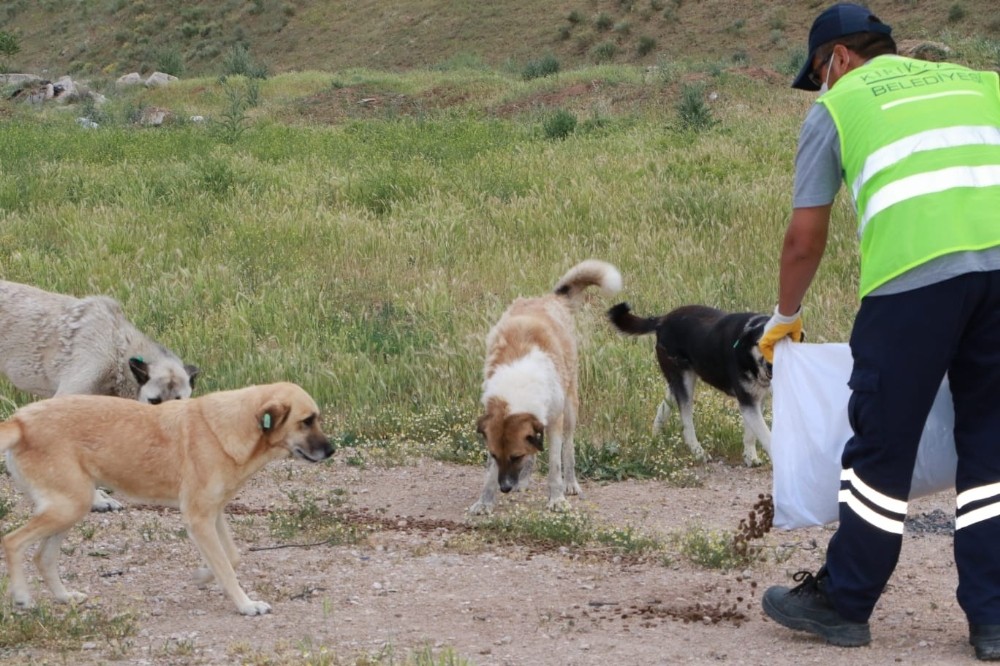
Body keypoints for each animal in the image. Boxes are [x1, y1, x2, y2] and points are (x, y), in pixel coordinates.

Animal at [0, 382, 336, 616]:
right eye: (307, 420)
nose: (332, 450)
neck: (232, 429)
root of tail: (19, 421)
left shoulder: (213, 514)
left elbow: (231, 557)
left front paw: (202, 575)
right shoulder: (199, 518)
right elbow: (227, 568)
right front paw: (246, 605)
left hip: (71, 507)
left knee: (43, 558)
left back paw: (64, 597)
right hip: (68, 506)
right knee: (13, 541)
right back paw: (22, 597)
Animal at [466, 260, 616, 512]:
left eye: (515, 456)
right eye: (495, 455)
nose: (505, 488)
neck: (517, 386)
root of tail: (550, 298)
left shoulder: (554, 420)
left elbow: (555, 466)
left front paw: (557, 499)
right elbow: (490, 474)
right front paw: (485, 501)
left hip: (570, 409)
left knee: (569, 450)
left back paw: (570, 484)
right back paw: (524, 482)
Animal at [600, 302, 772, 464]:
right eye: (762, 344)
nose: (771, 367)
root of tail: (662, 320)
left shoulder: (754, 400)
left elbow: (751, 434)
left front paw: (750, 457)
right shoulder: (747, 401)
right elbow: (766, 435)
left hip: (675, 384)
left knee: (663, 408)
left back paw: (655, 438)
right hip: (685, 382)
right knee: (687, 425)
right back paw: (698, 452)